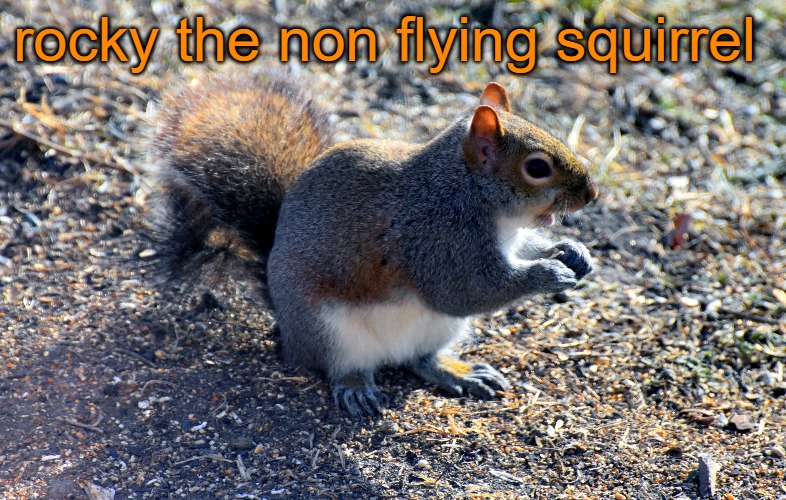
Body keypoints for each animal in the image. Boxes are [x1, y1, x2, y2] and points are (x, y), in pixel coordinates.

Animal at [148, 70, 598, 418]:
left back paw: (457, 372)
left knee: (419, 358)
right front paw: (547, 273)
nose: (591, 194)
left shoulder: (505, 241)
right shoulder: (435, 239)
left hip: (437, 329)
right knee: (340, 366)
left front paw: (572, 252)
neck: (468, 194)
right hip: (328, 331)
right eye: (537, 167)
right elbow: (464, 291)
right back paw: (356, 387)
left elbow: (520, 254)